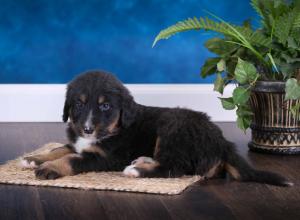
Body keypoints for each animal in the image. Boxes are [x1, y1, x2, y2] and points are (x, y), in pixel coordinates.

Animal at [22, 70, 292, 186]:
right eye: (78, 104)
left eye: (106, 106)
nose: (87, 129)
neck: (115, 128)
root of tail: (222, 140)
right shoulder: (78, 141)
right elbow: (61, 149)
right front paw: (34, 159)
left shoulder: (106, 157)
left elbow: (72, 159)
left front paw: (49, 168)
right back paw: (142, 161)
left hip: (173, 128)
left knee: (174, 168)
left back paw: (136, 170)